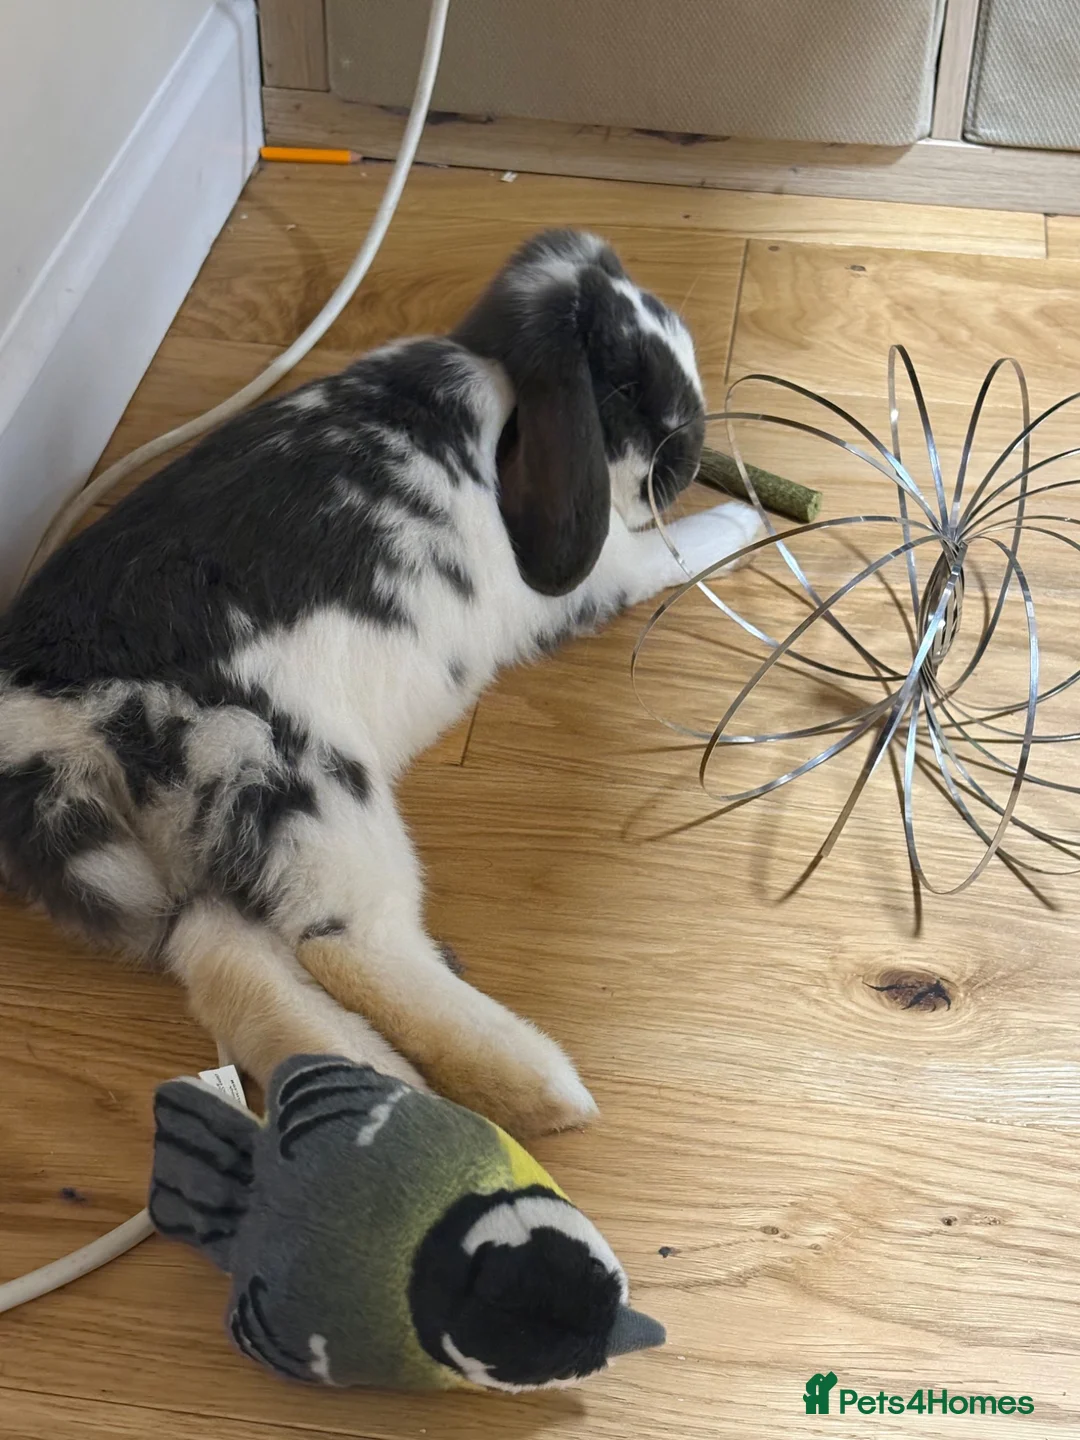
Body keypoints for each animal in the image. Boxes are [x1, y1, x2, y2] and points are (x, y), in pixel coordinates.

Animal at [0, 229, 762, 1139]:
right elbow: (677, 553)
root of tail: (55, 735)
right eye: (620, 383)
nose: (688, 452)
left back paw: (377, 1089)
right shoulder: (606, 568)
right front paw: (749, 520)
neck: (501, 380)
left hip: (206, 854)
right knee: (346, 944)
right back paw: (542, 1092)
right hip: (306, 781)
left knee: (226, 959)